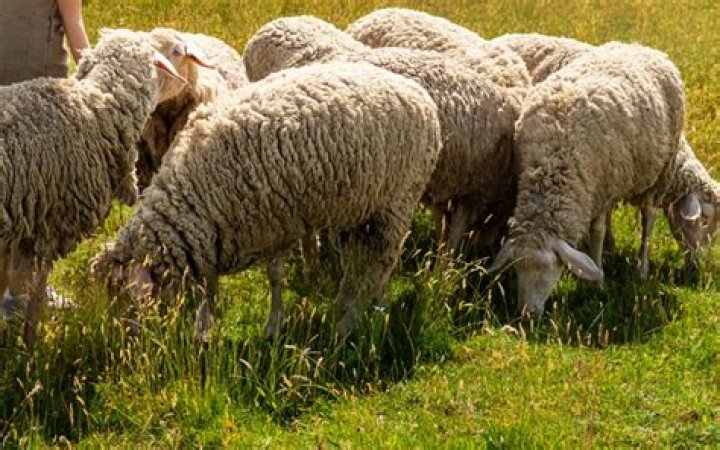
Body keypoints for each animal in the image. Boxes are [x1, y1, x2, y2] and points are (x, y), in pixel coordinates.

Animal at [91, 61, 442, 339]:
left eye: (123, 297)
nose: (121, 339)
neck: (194, 195)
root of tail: (421, 95)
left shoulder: (276, 224)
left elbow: (273, 276)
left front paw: (272, 326)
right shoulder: (216, 235)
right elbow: (211, 285)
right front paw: (203, 328)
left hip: (398, 200)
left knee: (384, 259)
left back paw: (354, 321)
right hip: (360, 207)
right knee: (360, 260)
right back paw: (351, 303)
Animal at [489, 42, 685, 316]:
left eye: (550, 269)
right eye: (517, 269)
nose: (527, 315)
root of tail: (641, 47)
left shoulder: (602, 188)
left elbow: (597, 231)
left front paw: (597, 281)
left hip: (661, 171)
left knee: (648, 217)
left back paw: (642, 269)